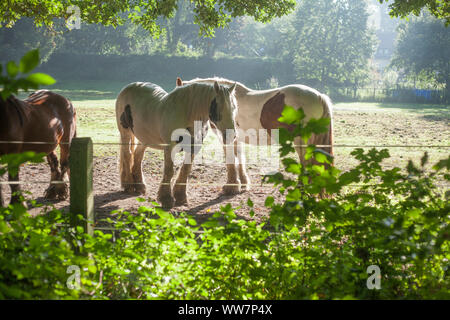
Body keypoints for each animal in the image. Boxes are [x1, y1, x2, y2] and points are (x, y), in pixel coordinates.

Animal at [114, 81, 237, 209]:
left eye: (234, 108)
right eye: (218, 108)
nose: (231, 135)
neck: (187, 114)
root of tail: (130, 86)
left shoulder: (194, 147)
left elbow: (186, 169)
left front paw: (180, 197)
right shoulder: (170, 147)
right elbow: (169, 171)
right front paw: (166, 199)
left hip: (145, 137)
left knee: (138, 155)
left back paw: (139, 186)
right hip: (125, 132)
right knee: (127, 155)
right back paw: (128, 185)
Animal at [176, 77, 334, 192]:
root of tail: (319, 96)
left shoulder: (225, 137)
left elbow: (230, 160)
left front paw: (231, 186)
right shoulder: (236, 138)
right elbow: (239, 158)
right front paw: (243, 183)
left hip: (301, 141)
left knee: (306, 163)